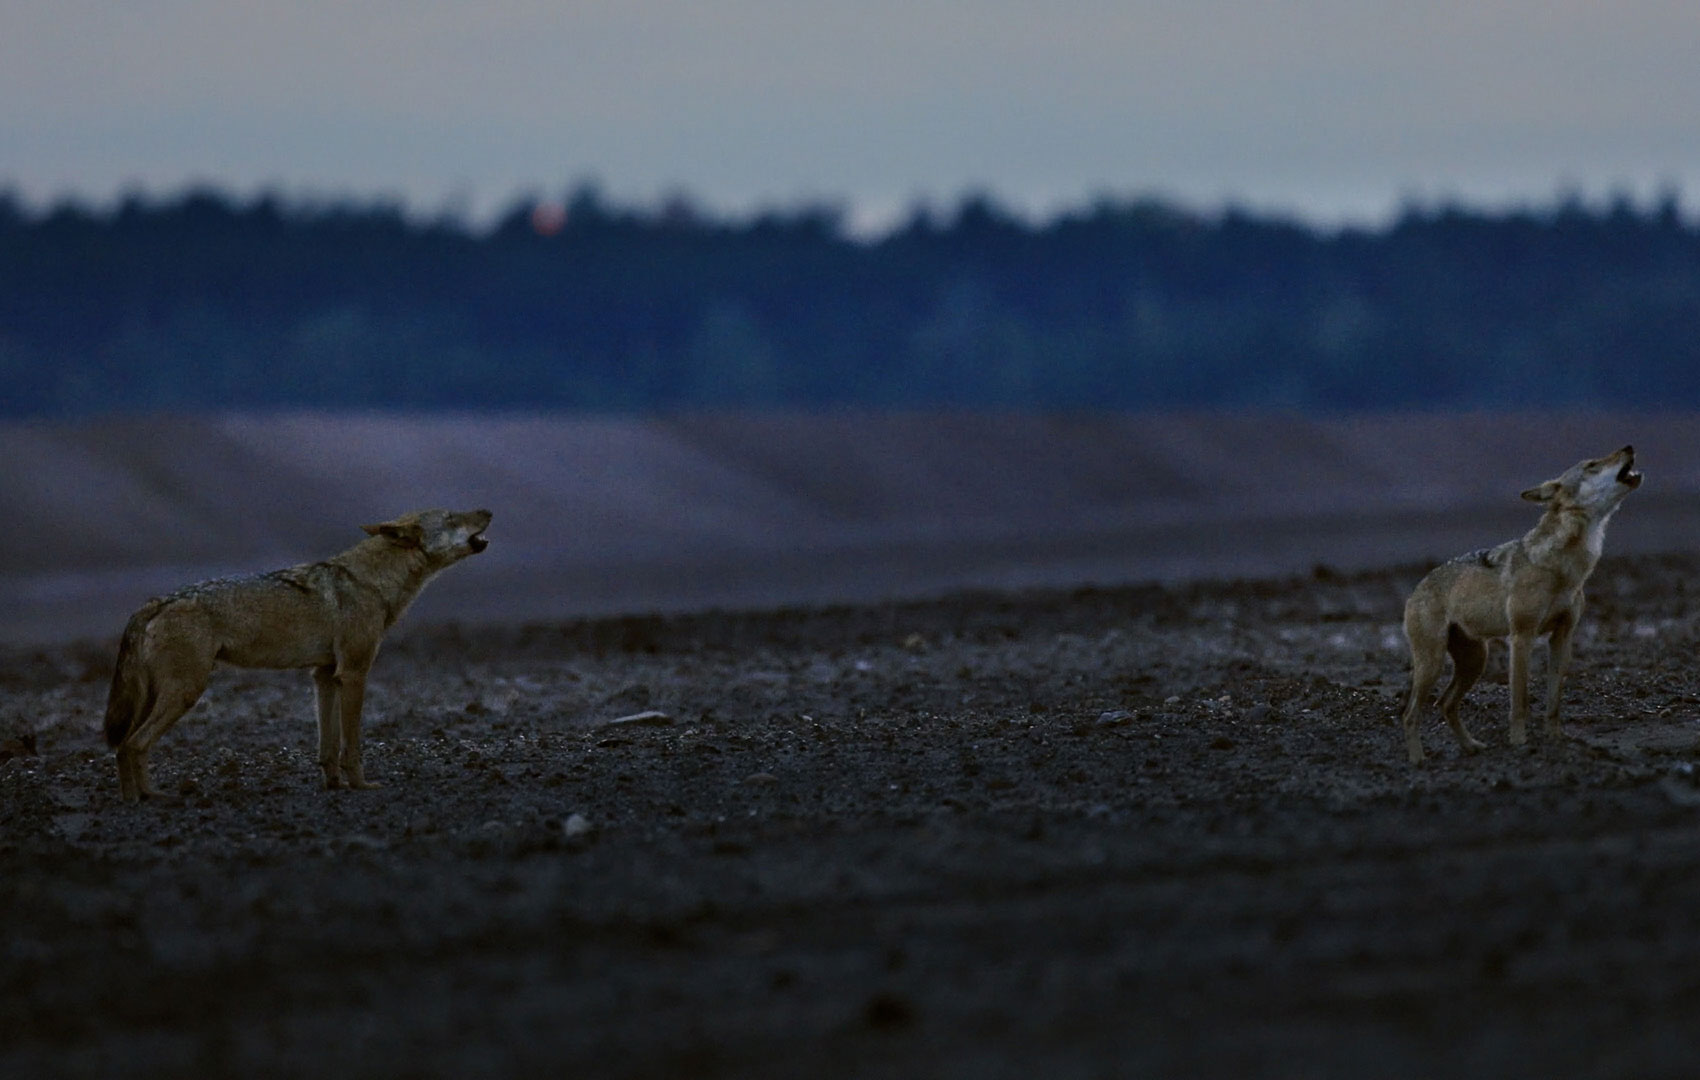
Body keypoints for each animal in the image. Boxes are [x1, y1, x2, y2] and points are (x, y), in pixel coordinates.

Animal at [103, 508, 492, 802]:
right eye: (452, 517)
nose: (488, 510)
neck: (374, 583)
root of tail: (153, 603)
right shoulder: (354, 673)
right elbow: (351, 744)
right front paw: (361, 786)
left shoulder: (325, 676)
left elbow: (328, 746)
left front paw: (334, 786)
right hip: (185, 693)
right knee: (134, 744)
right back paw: (144, 799)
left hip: (158, 695)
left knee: (124, 745)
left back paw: (139, 797)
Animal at [1399, 447, 1639, 764]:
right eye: (1591, 465)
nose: (1629, 447)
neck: (1565, 566)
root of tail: (1416, 589)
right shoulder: (1521, 637)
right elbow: (1520, 700)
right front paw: (1519, 743)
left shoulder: (1563, 637)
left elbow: (1554, 700)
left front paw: (1555, 739)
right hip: (1433, 663)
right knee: (1410, 713)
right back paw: (1417, 759)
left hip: (1476, 661)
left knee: (1445, 703)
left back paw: (1471, 746)